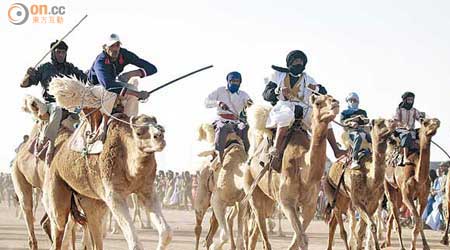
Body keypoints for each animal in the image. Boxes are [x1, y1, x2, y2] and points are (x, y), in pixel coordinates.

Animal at [244, 94, 340, 250]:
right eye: (318, 103)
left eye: (331, 97)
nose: (335, 103)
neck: (303, 169)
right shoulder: (286, 202)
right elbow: (302, 239)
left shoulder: (310, 206)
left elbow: (299, 240)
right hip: (252, 189)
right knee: (261, 228)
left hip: (269, 199)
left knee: (256, 232)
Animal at [324, 118, 394, 249]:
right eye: (379, 123)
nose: (393, 122)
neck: (370, 179)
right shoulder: (357, 202)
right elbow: (371, 226)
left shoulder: (372, 203)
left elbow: (363, 230)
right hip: (331, 194)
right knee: (342, 231)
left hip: (344, 200)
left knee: (332, 224)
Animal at [382, 117, 442, 250]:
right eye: (425, 122)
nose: (437, 121)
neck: (418, 178)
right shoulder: (407, 196)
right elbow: (418, 220)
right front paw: (412, 246)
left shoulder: (424, 197)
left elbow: (419, 222)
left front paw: (424, 246)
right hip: (389, 187)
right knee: (395, 217)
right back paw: (399, 246)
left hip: (399, 195)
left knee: (392, 214)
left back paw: (386, 242)